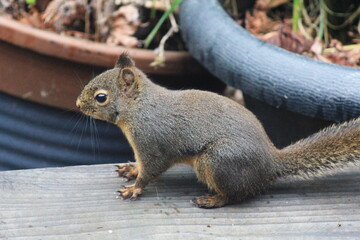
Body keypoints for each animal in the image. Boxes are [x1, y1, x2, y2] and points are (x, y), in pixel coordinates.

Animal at [76, 53, 360, 208]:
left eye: (101, 97)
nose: (78, 104)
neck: (139, 108)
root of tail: (270, 163)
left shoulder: (152, 144)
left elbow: (151, 170)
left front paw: (134, 188)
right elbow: (140, 165)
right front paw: (131, 169)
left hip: (217, 162)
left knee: (239, 194)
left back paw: (213, 200)